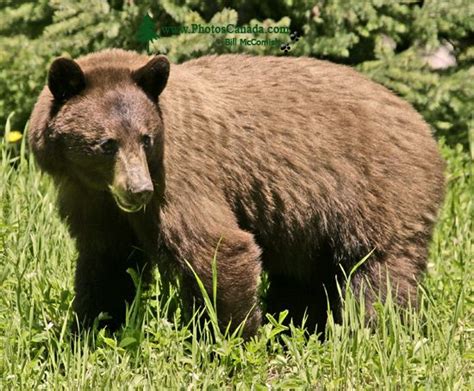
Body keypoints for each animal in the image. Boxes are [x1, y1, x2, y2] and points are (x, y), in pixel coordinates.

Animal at [28, 48, 444, 336]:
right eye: (106, 143)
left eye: (146, 138)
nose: (139, 189)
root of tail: (421, 124)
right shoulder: (94, 201)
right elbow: (106, 264)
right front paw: (87, 331)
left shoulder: (180, 177)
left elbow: (217, 247)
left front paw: (232, 338)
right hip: (310, 223)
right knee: (305, 278)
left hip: (379, 191)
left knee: (380, 272)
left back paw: (379, 331)